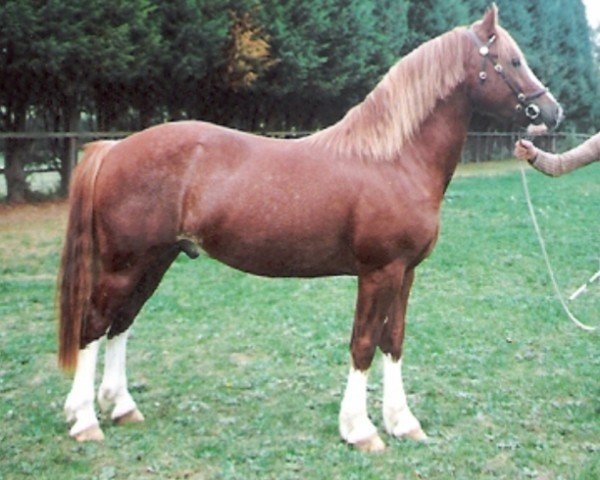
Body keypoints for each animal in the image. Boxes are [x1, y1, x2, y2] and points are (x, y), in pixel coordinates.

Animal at [57, 5, 564, 452]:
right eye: (513, 61)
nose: (553, 113)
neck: (394, 159)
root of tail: (113, 148)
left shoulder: (405, 273)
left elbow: (393, 342)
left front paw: (403, 422)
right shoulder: (378, 272)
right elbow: (363, 344)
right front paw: (360, 430)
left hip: (155, 261)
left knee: (122, 323)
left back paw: (121, 407)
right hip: (124, 265)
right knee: (94, 325)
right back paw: (84, 420)